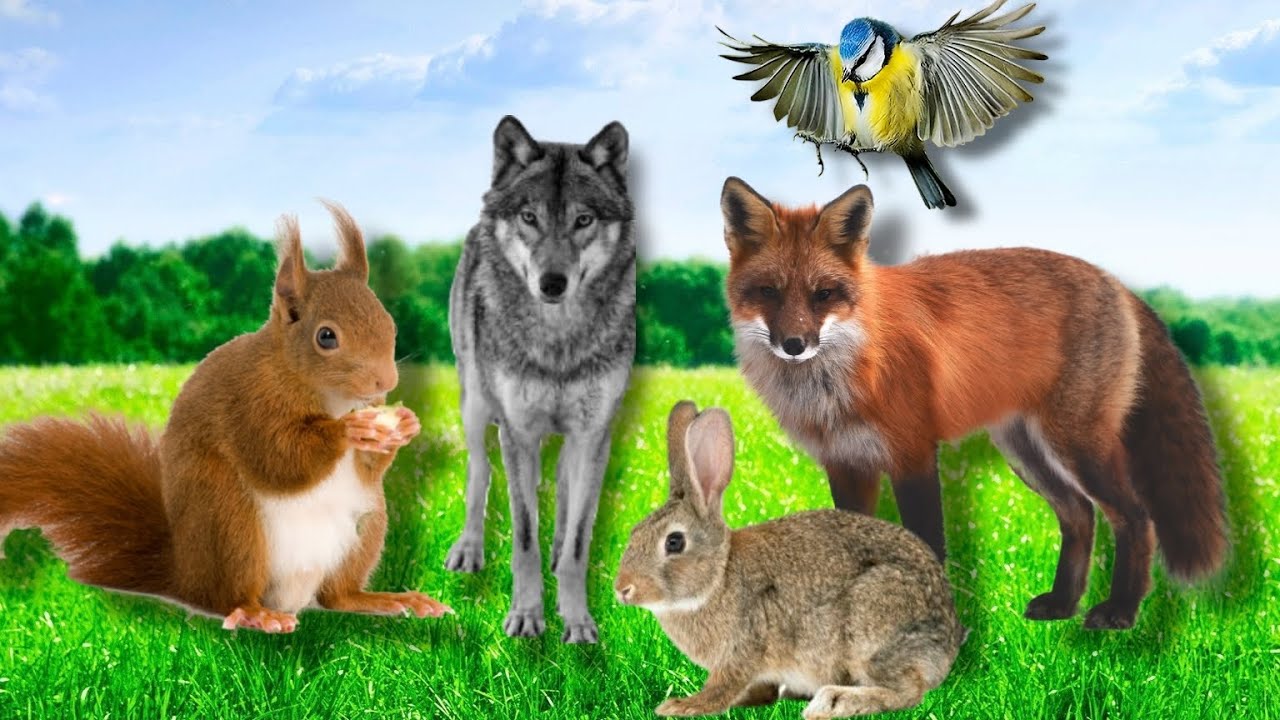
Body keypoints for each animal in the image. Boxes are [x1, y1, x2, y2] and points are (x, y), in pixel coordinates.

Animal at [444, 116, 636, 643]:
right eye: (529, 217)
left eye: (583, 220)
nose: (553, 283)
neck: (558, 344)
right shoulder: (519, 434)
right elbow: (524, 537)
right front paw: (527, 616)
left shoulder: (594, 436)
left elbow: (578, 542)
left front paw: (577, 621)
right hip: (475, 407)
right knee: (480, 471)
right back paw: (469, 550)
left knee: (566, 497)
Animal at [720, 176, 1228, 630]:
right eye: (769, 292)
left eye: (823, 294)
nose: (794, 345)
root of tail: (1115, 282)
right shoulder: (847, 465)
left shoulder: (913, 455)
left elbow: (928, 544)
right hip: (1027, 452)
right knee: (1080, 515)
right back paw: (1063, 603)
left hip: (1078, 446)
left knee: (1136, 517)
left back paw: (1120, 611)